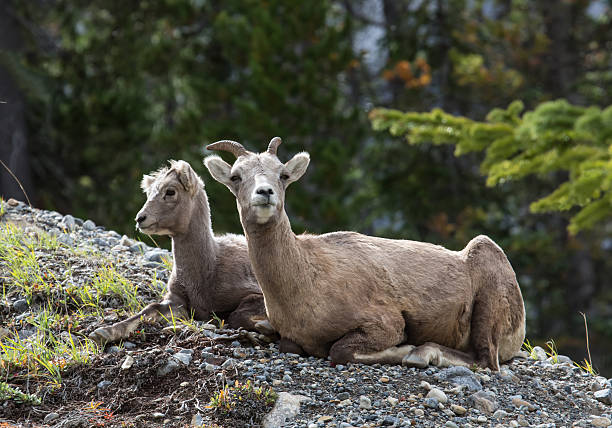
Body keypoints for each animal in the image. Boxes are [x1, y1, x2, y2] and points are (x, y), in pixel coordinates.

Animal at [88, 160, 268, 344]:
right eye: (149, 193)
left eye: (170, 191)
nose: (140, 219)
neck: (205, 276)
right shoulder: (177, 300)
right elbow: (150, 308)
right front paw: (102, 333)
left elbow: (236, 316)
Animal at [204, 139, 524, 370]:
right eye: (236, 177)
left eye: (282, 174)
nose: (265, 193)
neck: (305, 283)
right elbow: (290, 345)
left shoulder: (386, 324)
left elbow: (340, 351)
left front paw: (405, 349)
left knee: (486, 361)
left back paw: (422, 354)